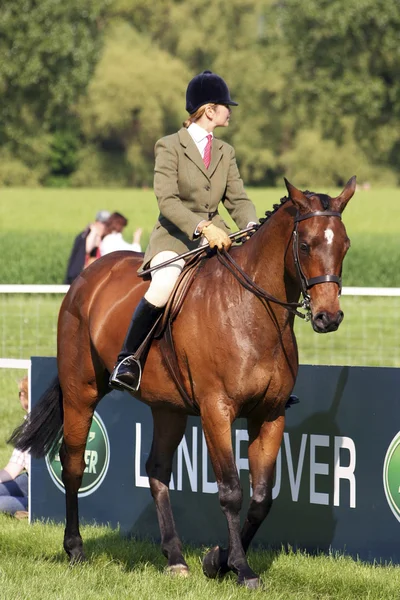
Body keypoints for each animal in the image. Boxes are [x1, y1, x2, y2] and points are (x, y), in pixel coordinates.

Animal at [12, 176, 356, 588]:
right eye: (305, 245)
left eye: (345, 245)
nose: (328, 318)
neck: (252, 310)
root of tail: (90, 274)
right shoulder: (216, 411)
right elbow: (231, 491)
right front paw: (240, 568)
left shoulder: (270, 414)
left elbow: (261, 499)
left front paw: (217, 560)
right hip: (81, 392)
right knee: (73, 463)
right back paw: (75, 549)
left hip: (168, 409)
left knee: (157, 470)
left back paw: (175, 558)